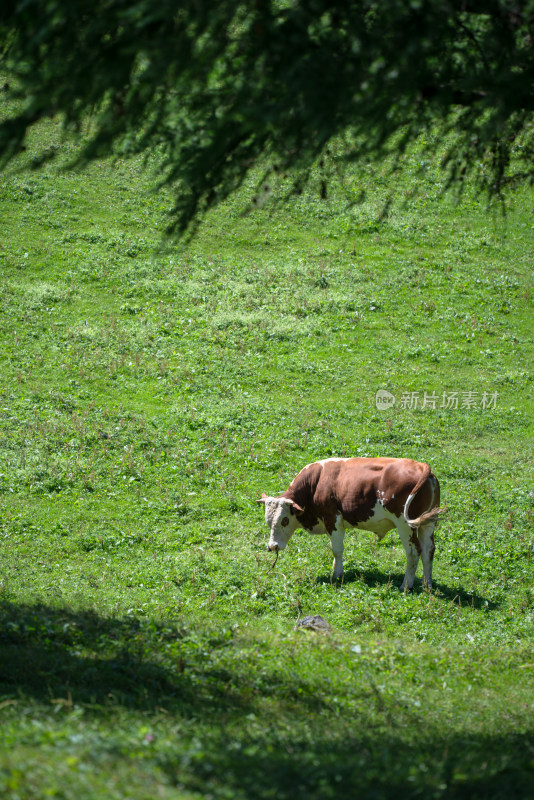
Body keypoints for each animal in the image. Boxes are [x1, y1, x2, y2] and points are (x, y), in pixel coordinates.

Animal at [258, 456, 446, 588]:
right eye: (268, 521)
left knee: (413, 552)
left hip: (405, 525)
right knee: (428, 550)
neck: (316, 482)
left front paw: (337, 575)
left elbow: (337, 550)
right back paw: (427, 584)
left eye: (284, 520)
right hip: (428, 523)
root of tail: (421, 466)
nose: (273, 546)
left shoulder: (333, 520)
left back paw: (406, 585)